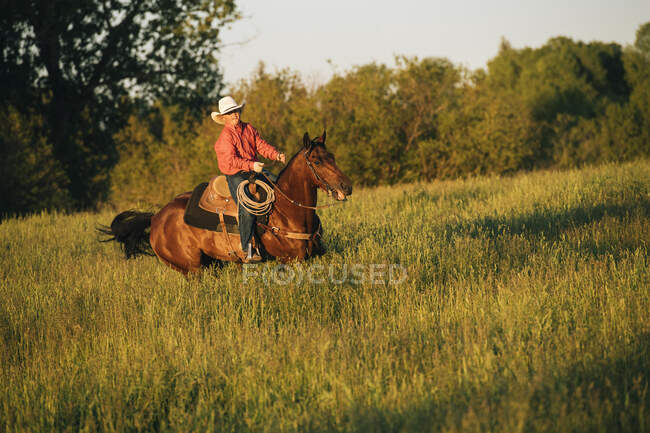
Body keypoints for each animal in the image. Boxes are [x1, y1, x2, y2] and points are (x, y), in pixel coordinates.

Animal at [99, 131, 352, 274]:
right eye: (317, 161)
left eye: (333, 157)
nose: (346, 186)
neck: (288, 210)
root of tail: (155, 218)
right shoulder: (290, 260)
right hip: (193, 269)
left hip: (212, 264)